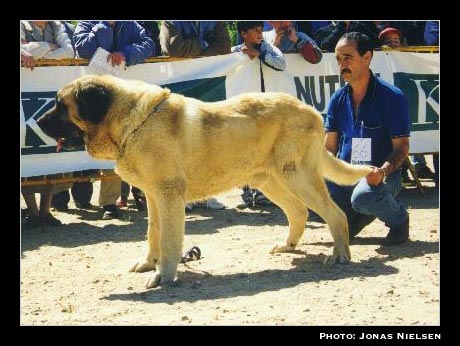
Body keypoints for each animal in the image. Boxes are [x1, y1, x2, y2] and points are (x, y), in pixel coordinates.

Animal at [37, 75, 372, 290]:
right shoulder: (153, 196)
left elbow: (169, 240)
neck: (130, 123)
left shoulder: (169, 195)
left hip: (297, 176)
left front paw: (163, 276)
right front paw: (149, 263)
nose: (37, 122)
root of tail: (312, 110)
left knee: (334, 214)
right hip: (271, 180)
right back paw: (287, 246)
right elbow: (152, 233)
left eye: (61, 105)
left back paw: (340, 255)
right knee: (299, 212)